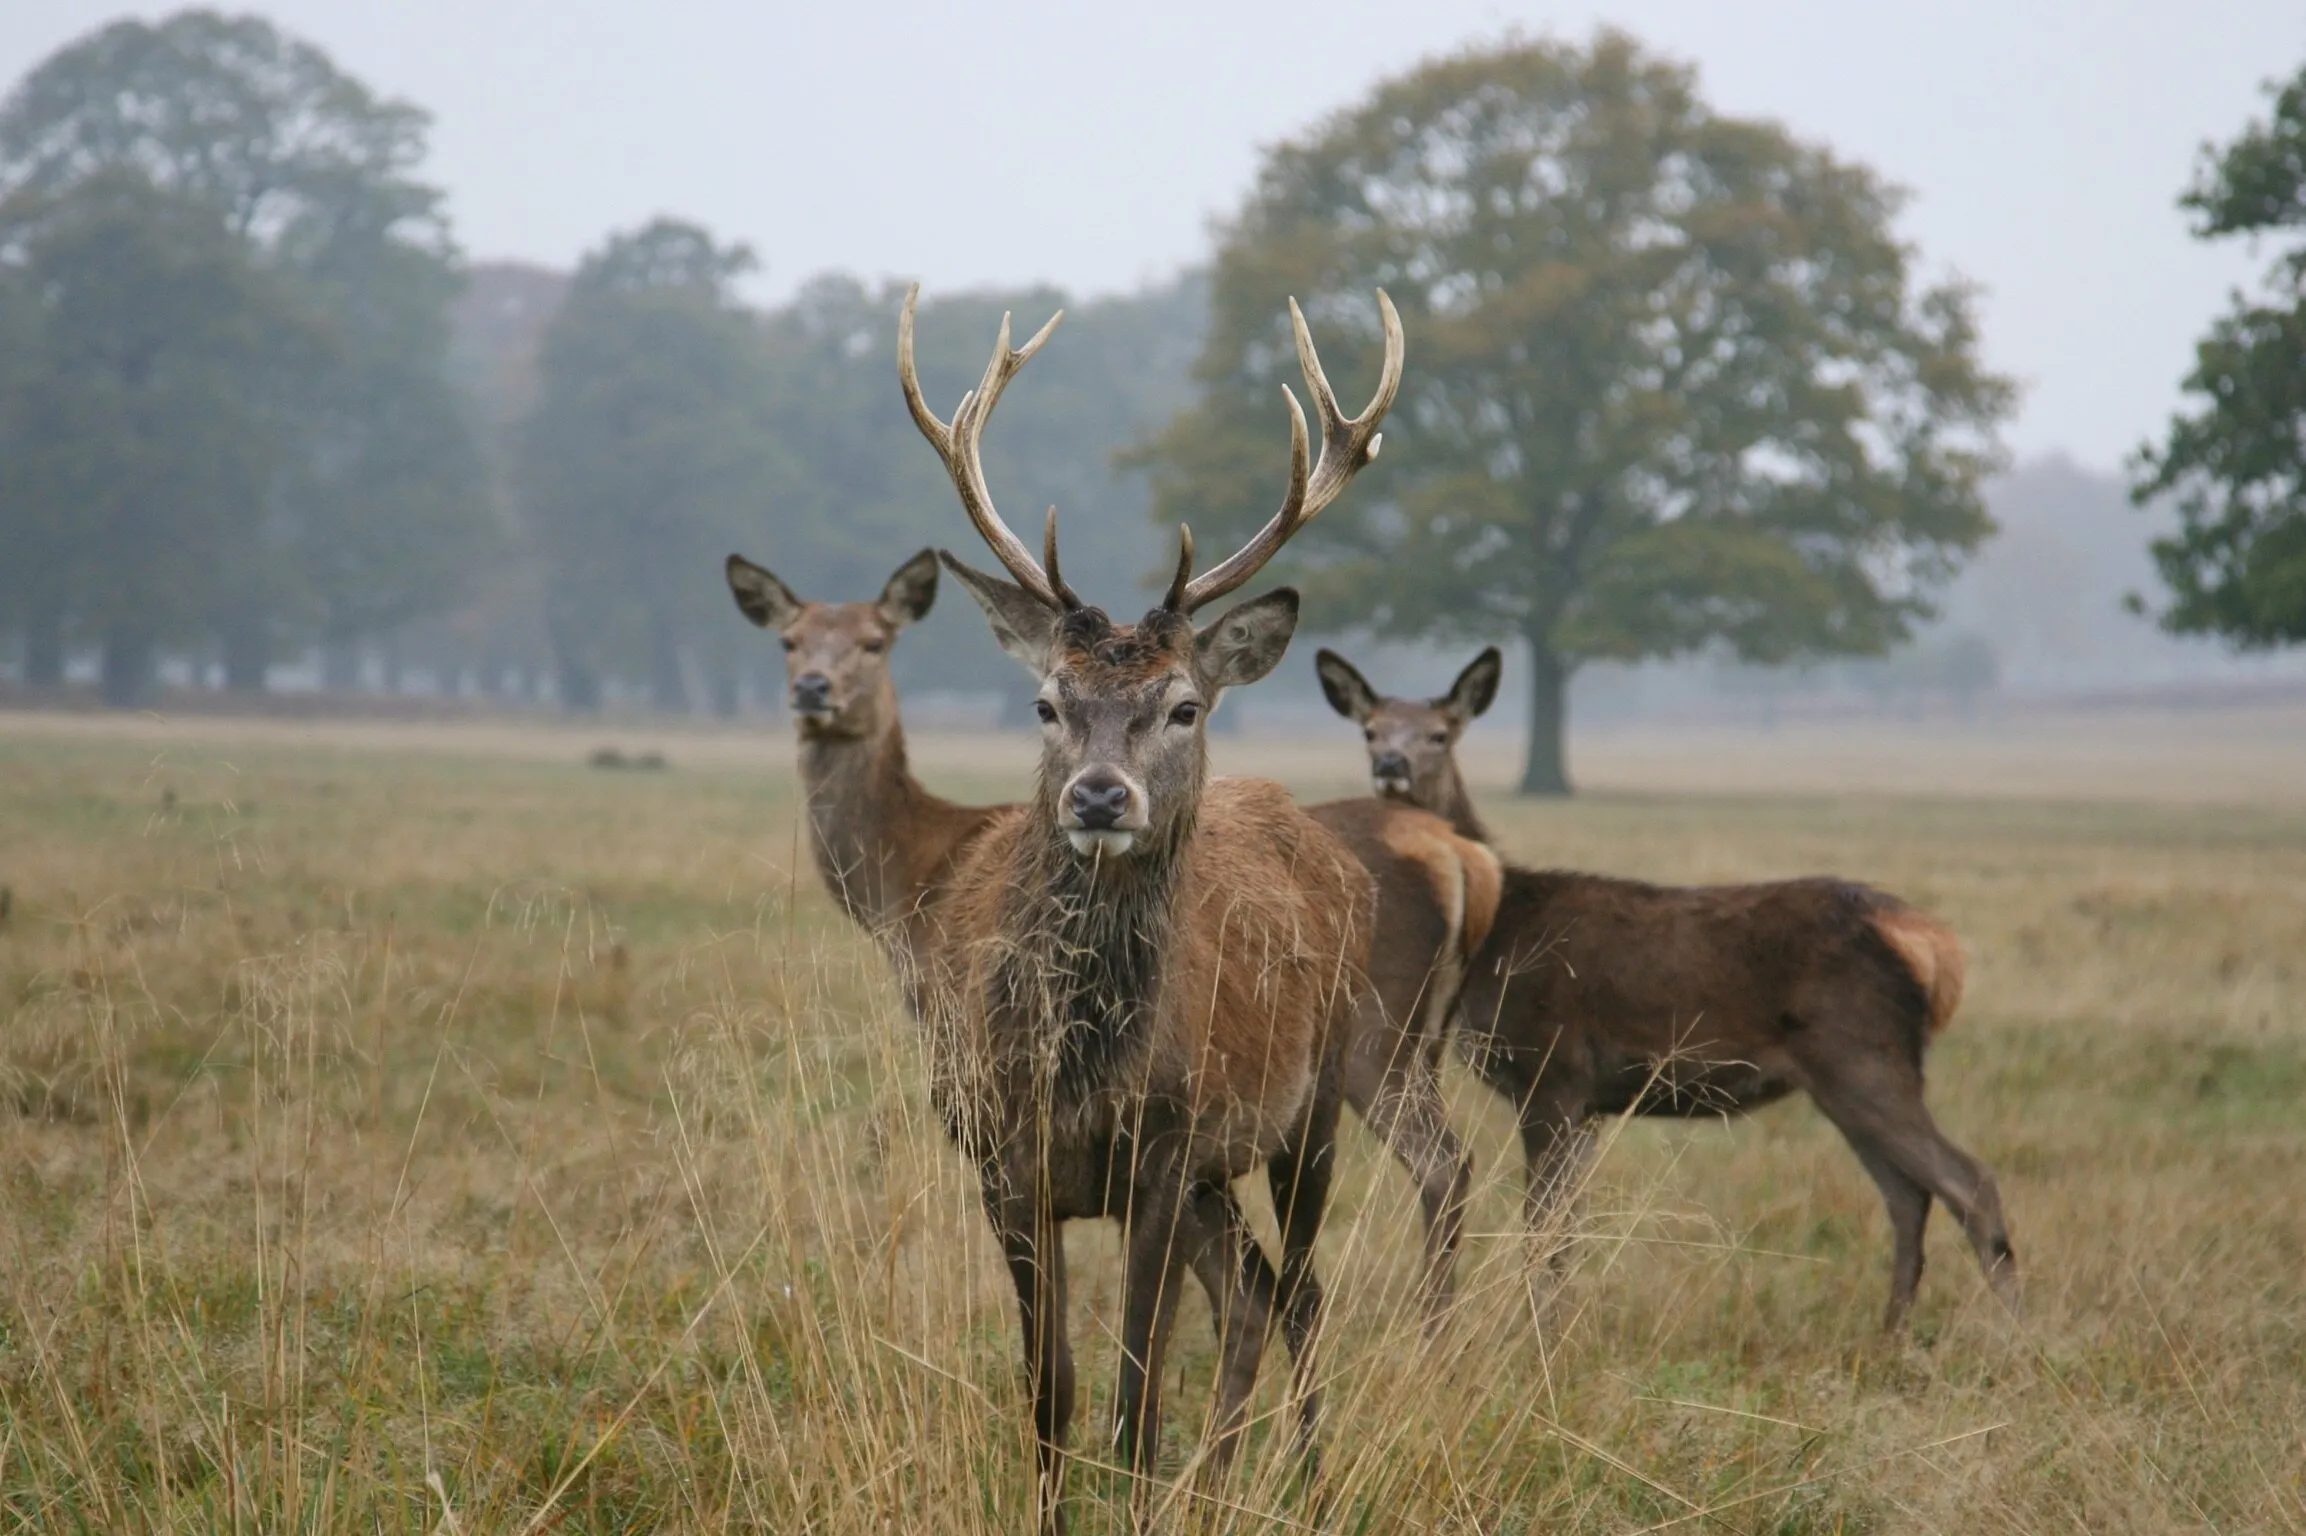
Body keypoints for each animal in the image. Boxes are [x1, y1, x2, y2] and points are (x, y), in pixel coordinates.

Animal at [883, 283, 1400, 1530]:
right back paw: (1216, 1488)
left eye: (1180, 706)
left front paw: (1131, 1499)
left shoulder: (1160, 1152)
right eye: (1044, 701)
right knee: (1253, 1296)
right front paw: (1048, 1511)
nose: (1098, 795)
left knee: (1300, 1292)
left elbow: (1131, 1395)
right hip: (1221, 1169)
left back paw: (1306, 1486)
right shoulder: (1003, 1156)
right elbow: (1051, 1392)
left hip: (1317, 1098)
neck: (1074, 1075)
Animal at [1314, 646, 2021, 1335]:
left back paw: (2013, 1336)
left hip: (1862, 1053)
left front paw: (1538, 1337)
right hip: (1848, 1079)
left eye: (1440, 732)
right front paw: (1559, 1330)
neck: (1503, 922)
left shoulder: (1552, 1070)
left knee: (1970, 1182)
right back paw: (1891, 1334)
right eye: (1370, 729)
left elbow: (1544, 1227)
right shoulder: (1588, 1102)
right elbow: (1566, 1229)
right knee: (1908, 1194)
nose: (1391, 765)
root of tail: (1934, 946)